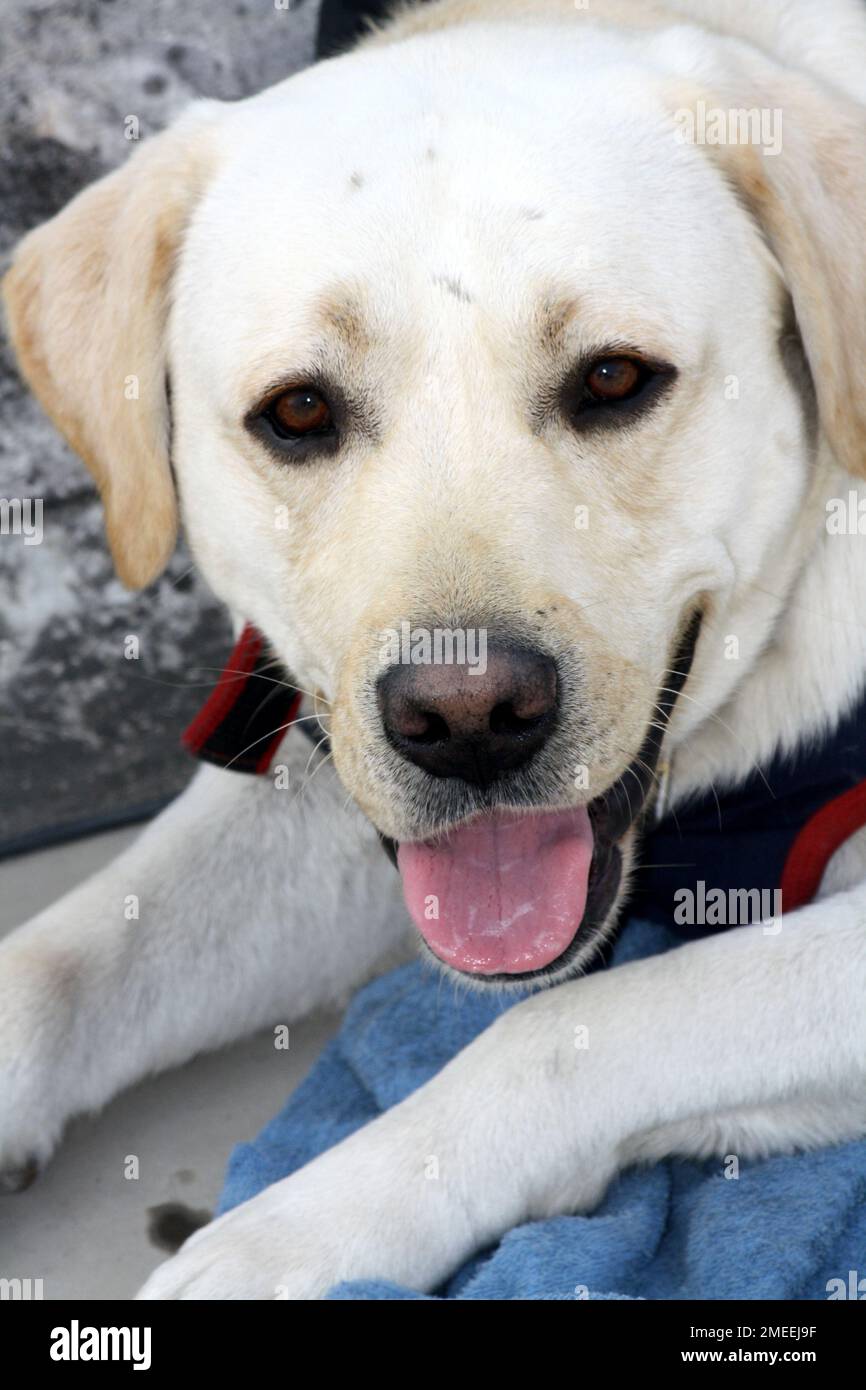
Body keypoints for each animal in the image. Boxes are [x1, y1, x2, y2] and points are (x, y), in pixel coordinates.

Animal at [1, 0, 866, 1295]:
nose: (469, 723)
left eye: (614, 378)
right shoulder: (324, 774)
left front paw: (287, 1235)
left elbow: (563, 1026)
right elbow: (62, 962)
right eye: (297, 411)